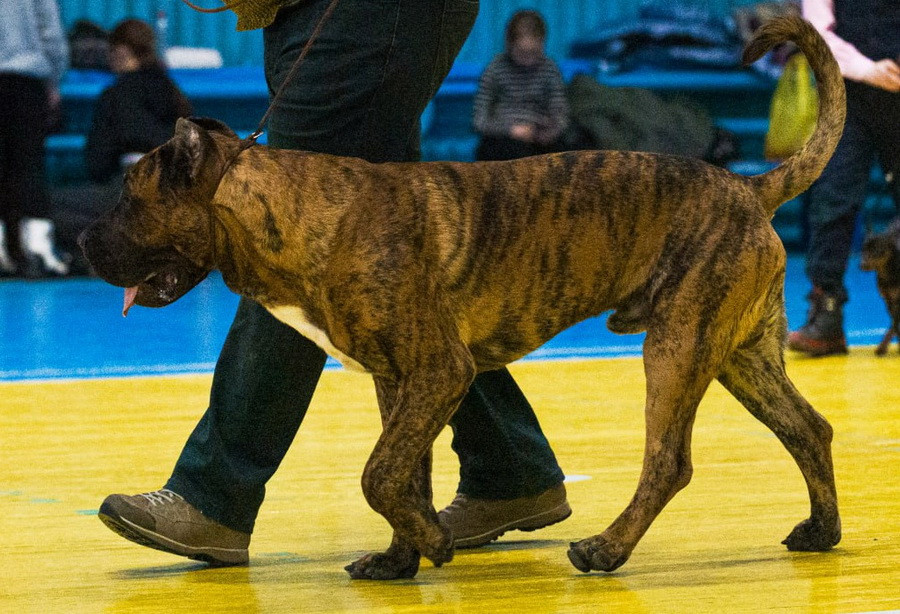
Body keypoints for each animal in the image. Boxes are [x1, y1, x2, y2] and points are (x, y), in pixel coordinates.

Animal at [82, 15, 844, 584]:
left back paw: (606, 549)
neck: (299, 213)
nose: (84, 241)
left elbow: (378, 473)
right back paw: (822, 529)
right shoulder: (400, 383)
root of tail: (748, 187)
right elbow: (402, 474)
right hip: (741, 354)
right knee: (808, 429)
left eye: (129, 199)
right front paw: (401, 556)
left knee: (669, 463)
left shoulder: (438, 370)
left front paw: (430, 542)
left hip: (679, 348)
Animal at [856, 219, 900, 358]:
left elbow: (895, 323)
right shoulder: (888, 301)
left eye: (877, 251)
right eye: (863, 250)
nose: (862, 265)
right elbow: (895, 324)